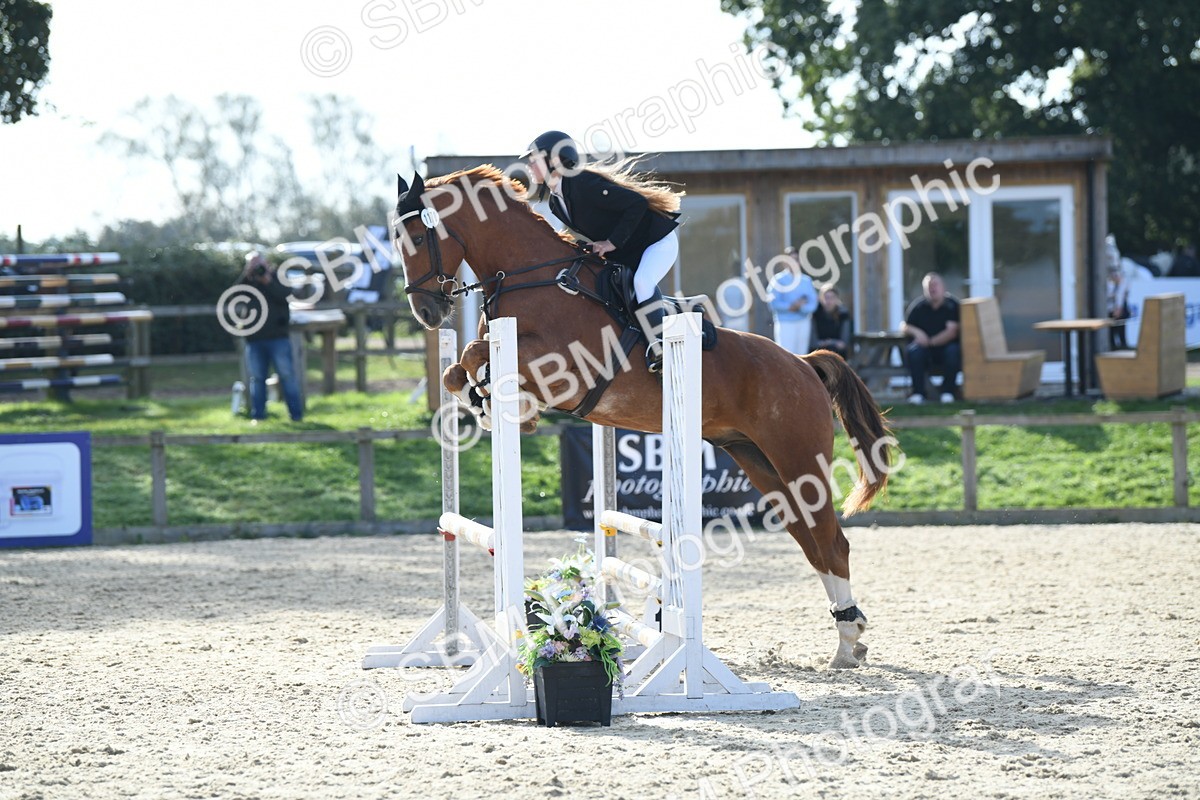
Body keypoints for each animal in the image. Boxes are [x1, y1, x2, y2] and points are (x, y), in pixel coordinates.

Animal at [391, 165, 893, 669]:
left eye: (415, 237)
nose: (427, 312)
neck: (530, 278)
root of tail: (803, 363)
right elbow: (457, 370)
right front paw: (492, 405)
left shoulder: (565, 367)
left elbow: (476, 355)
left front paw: (511, 409)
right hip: (761, 462)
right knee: (811, 541)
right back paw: (850, 634)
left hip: (798, 460)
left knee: (831, 542)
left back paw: (847, 643)